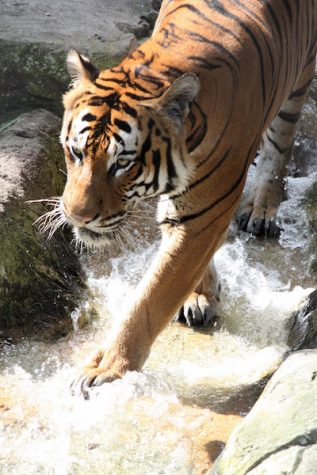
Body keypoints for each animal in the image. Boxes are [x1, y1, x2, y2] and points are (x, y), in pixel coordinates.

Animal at [58, 0, 314, 398]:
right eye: (76, 152)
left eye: (122, 164)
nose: (76, 216)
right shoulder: (189, 211)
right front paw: (200, 295)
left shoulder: (203, 213)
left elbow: (152, 297)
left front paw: (106, 369)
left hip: (299, 80)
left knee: (281, 143)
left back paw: (262, 206)